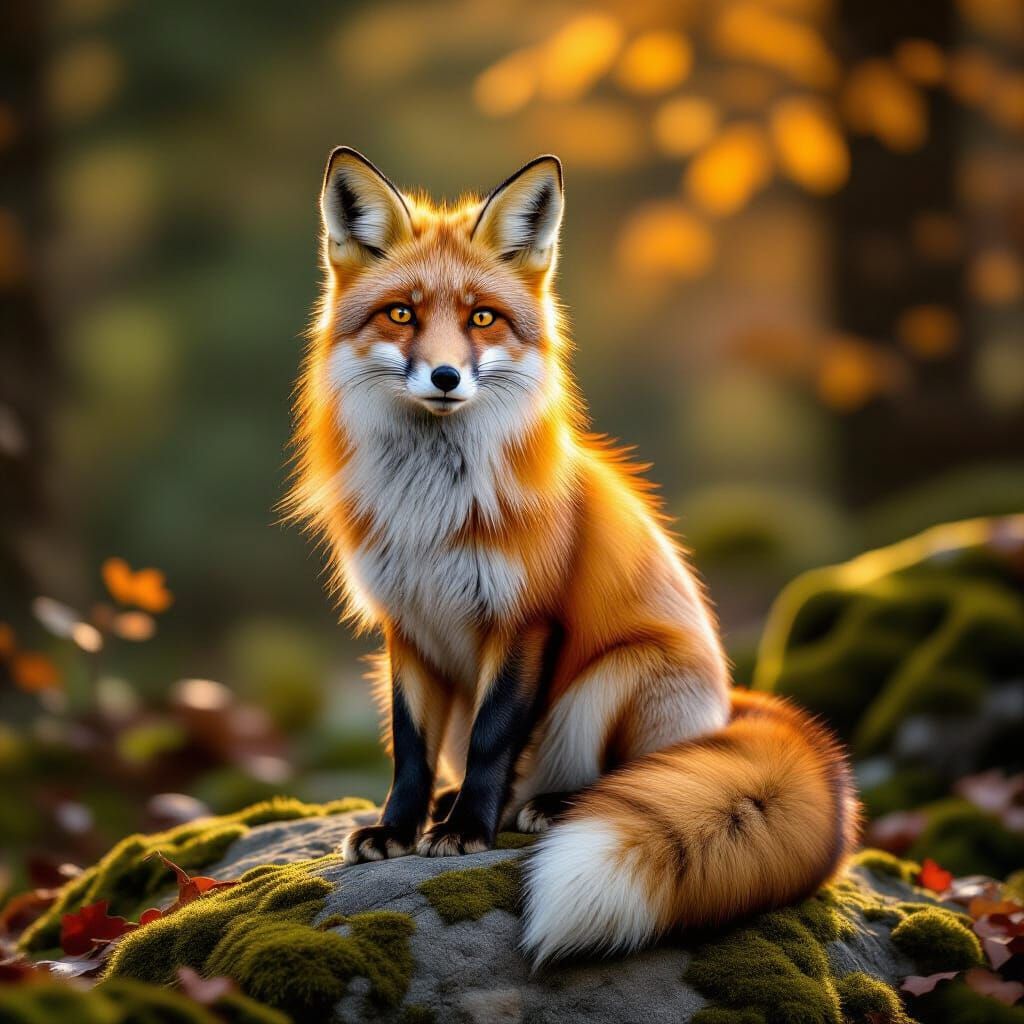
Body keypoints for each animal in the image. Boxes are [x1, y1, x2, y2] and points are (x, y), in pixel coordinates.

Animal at [287, 147, 860, 964]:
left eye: (482, 318)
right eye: (401, 313)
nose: (445, 377)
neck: (432, 512)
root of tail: (728, 706)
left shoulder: (526, 618)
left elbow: (494, 736)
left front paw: (464, 831)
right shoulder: (407, 627)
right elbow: (410, 750)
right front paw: (399, 830)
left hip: (618, 675)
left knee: (617, 776)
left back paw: (548, 805)